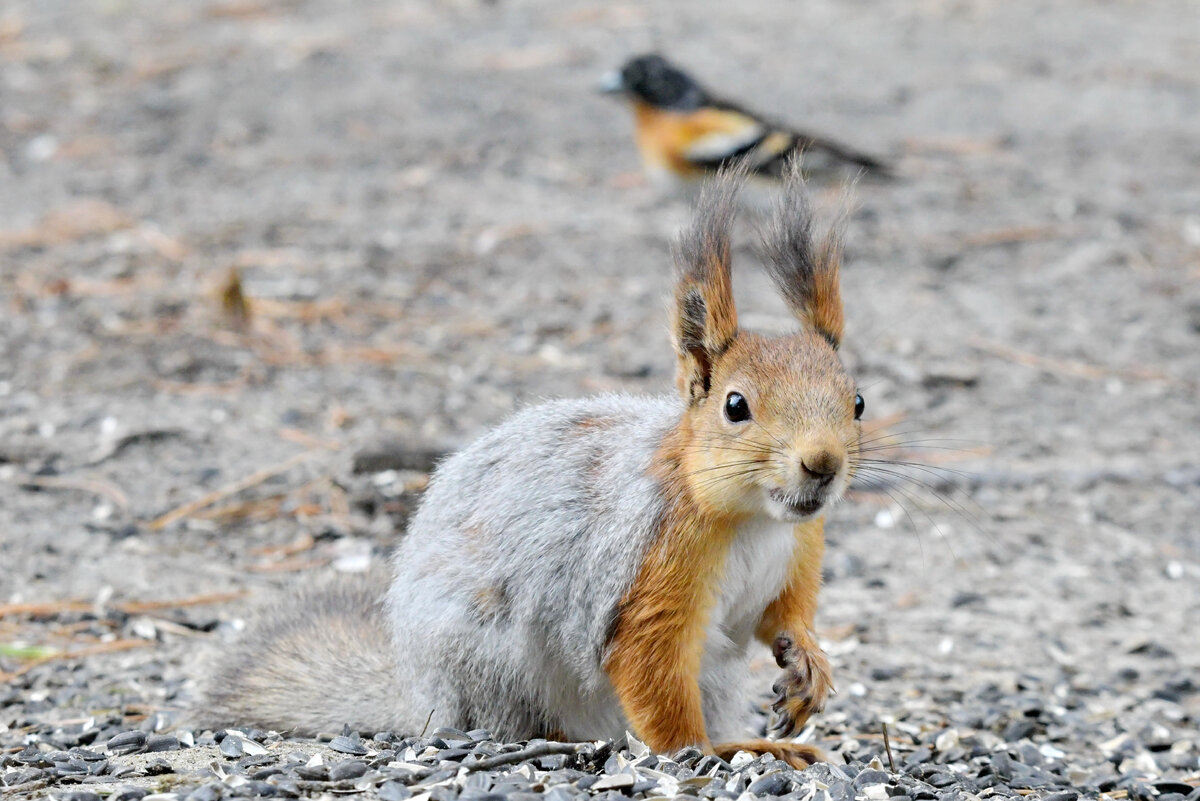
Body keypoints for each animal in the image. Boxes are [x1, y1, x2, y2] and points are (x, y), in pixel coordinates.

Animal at [201, 164, 868, 767]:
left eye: (858, 401)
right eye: (735, 406)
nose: (822, 464)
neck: (755, 520)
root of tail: (421, 696)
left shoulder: (800, 551)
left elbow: (783, 616)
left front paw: (809, 663)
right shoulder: (649, 573)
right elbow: (652, 678)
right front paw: (699, 753)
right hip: (491, 660)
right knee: (518, 721)